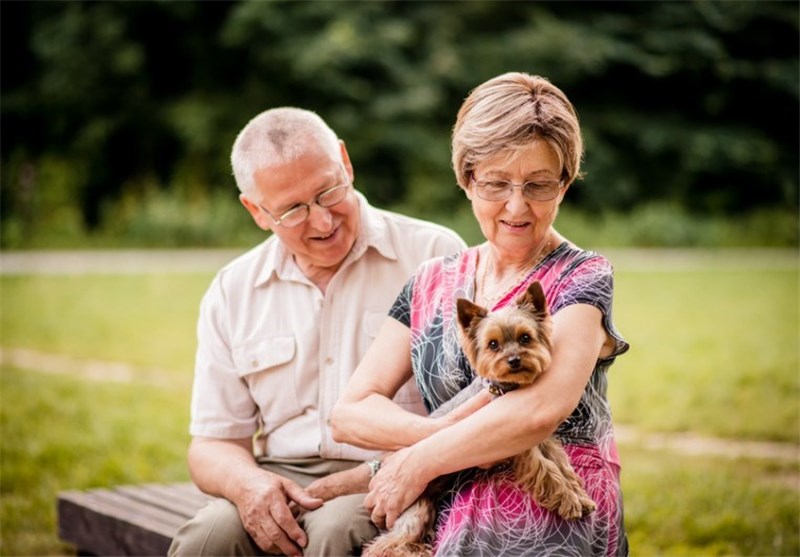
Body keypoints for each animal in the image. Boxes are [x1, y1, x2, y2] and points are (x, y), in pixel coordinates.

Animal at [366, 282, 596, 556]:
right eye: (493, 344)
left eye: (525, 338)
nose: (514, 360)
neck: (508, 389)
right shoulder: (517, 444)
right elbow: (547, 470)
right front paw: (568, 501)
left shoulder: (541, 438)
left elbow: (560, 464)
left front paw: (579, 495)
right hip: (414, 510)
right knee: (383, 544)